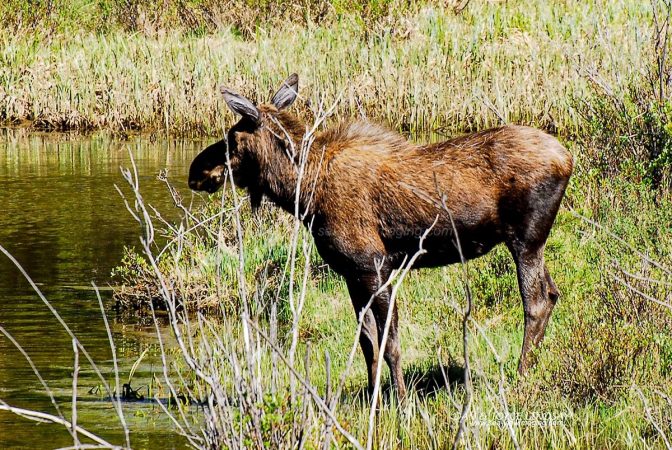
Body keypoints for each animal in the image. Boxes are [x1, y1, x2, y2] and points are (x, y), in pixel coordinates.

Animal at [188, 74, 574, 401]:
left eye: (232, 138)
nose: (196, 171)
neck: (305, 194)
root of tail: (568, 158)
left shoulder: (374, 266)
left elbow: (390, 342)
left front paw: (401, 401)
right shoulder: (351, 273)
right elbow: (367, 342)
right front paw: (374, 396)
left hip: (525, 239)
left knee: (536, 302)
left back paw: (521, 375)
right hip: (533, 241)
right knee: (553, 293)